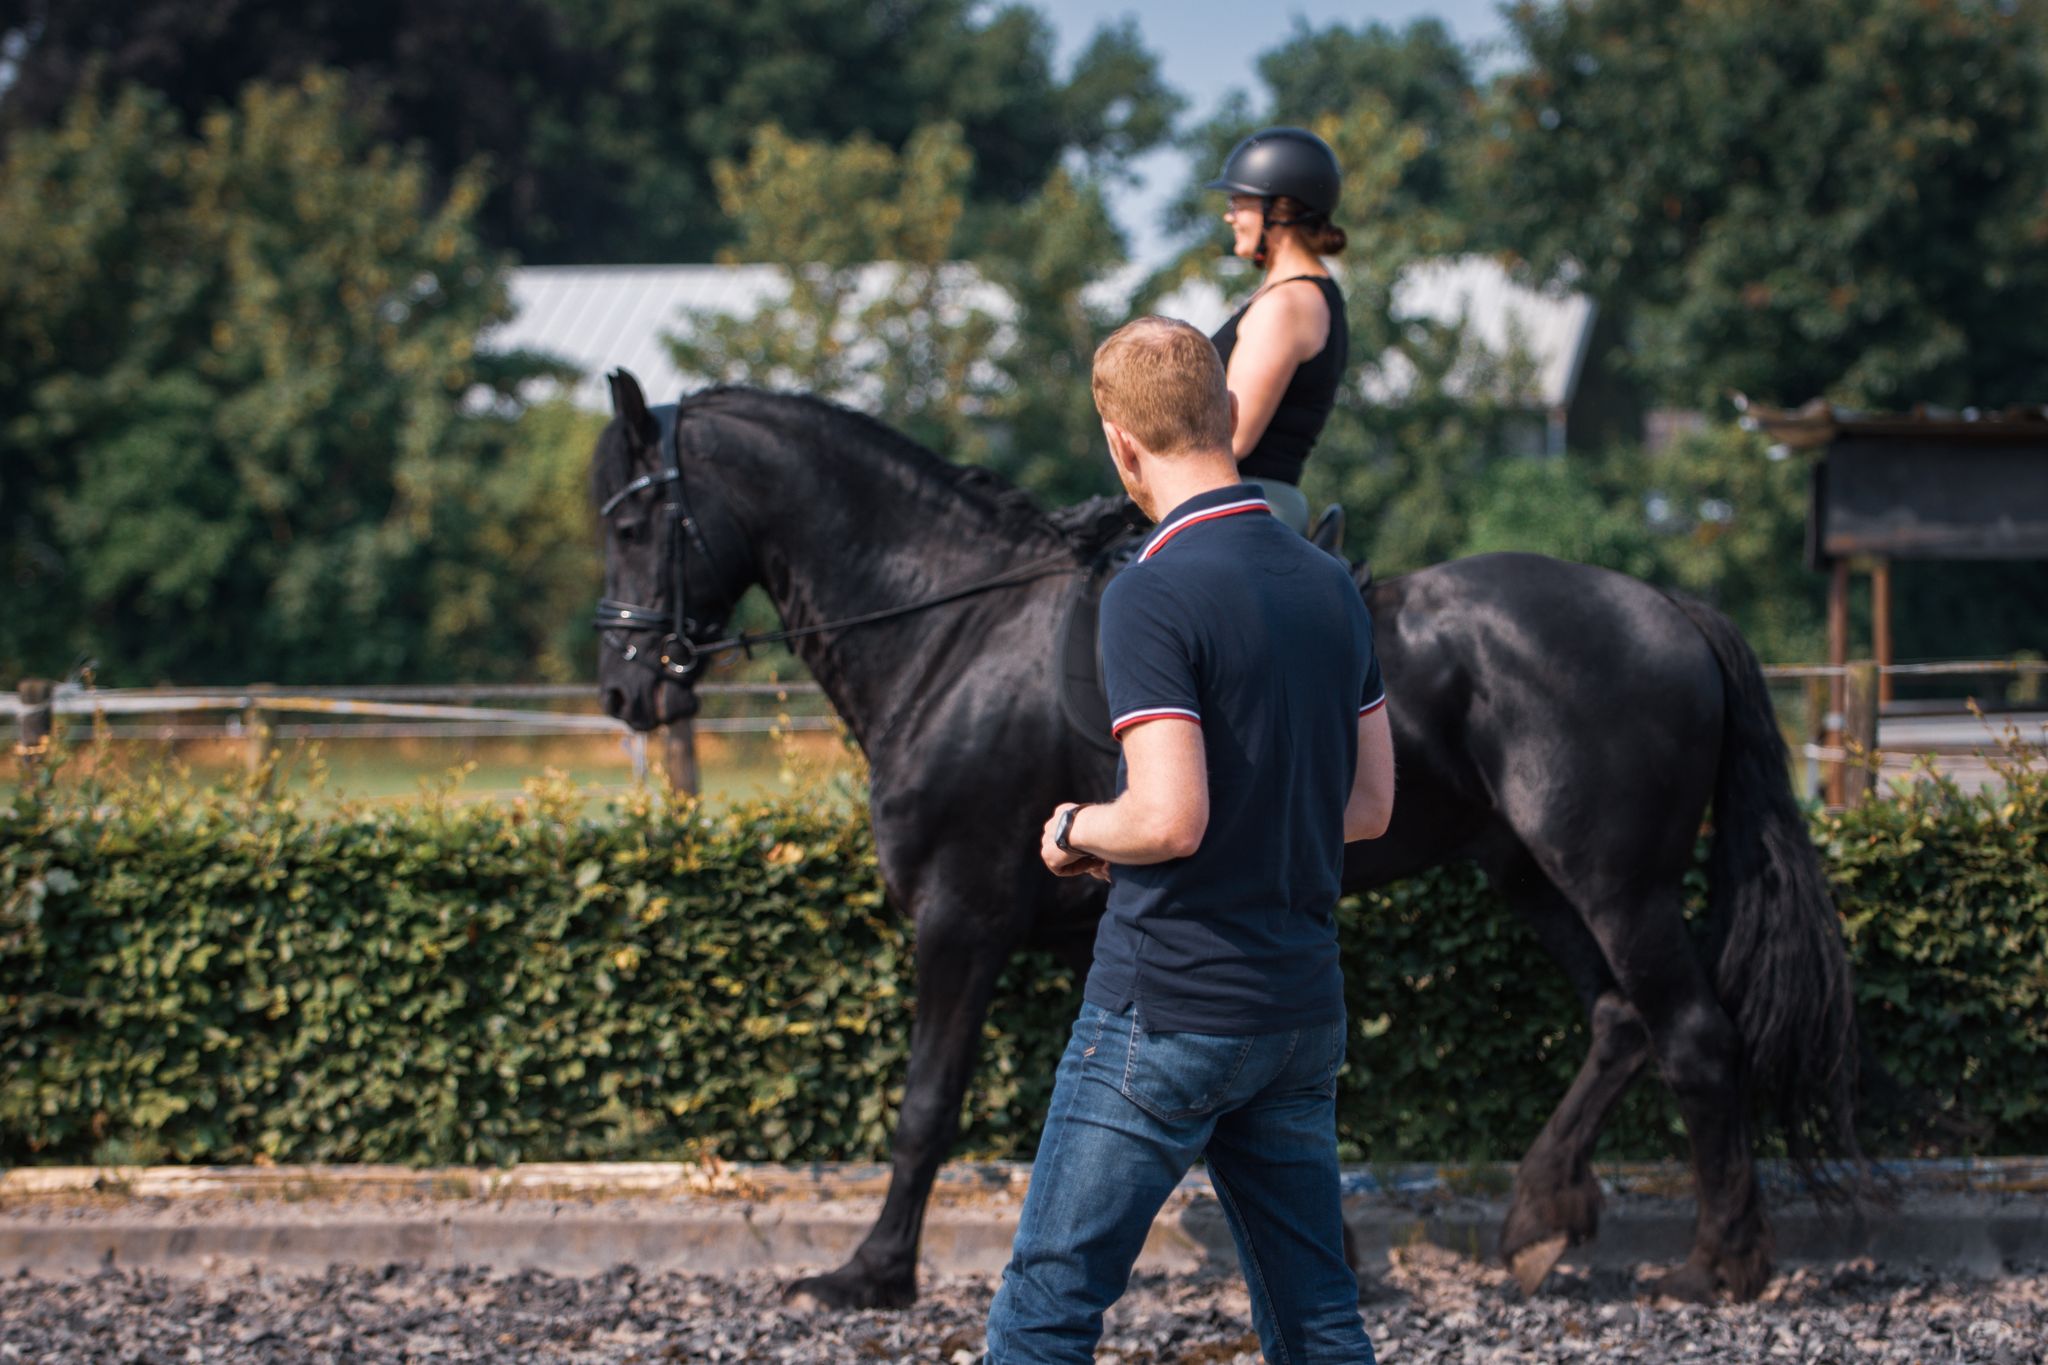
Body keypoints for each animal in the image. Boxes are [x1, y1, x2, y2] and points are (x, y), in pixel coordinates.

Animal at [589, 374, 1859, 1309]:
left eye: (634, 521)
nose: (622, 689)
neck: (954, 630)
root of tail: (1666, 608)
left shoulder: (961, 920)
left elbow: (925, 1105)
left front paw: (868, 1274)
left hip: (1611, 877)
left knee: (1692, 1032)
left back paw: (1716, 1265)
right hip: (1527, 870)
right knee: (1617, 1020)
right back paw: (1542, 1219)